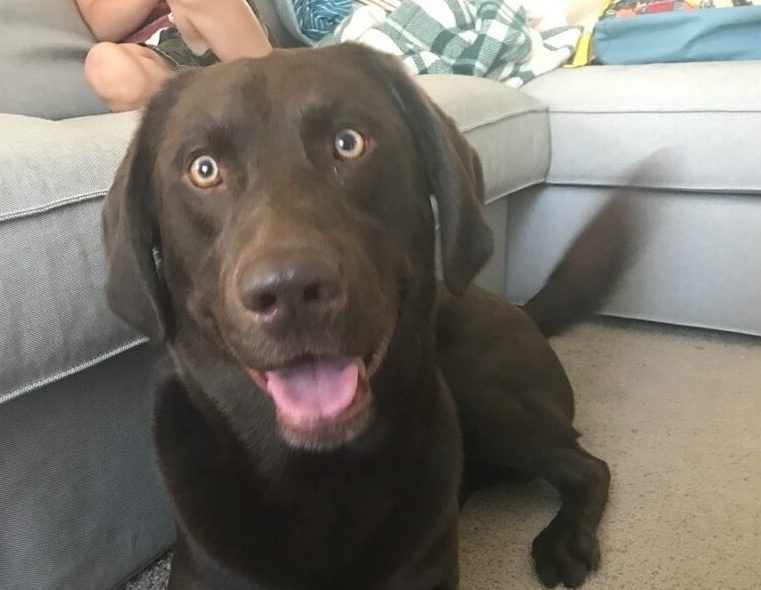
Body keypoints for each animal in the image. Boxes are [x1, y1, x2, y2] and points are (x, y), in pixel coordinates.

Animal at [101, 44, 616, 588]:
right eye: (203, 169)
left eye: (348, 143)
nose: (291, 289)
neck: (318, 479)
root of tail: (524, 311)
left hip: (486, 394)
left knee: (589, 465)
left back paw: (565, 541)